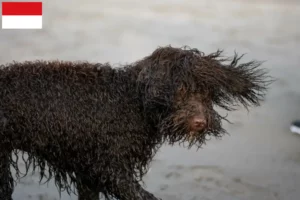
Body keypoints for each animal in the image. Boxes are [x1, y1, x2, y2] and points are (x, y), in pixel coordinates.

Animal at [0, 46, 270, 199]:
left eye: (206, 93)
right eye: (180, 90)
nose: (200, 122)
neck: (132, 101)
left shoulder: (89, 173)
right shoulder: (111, 170)